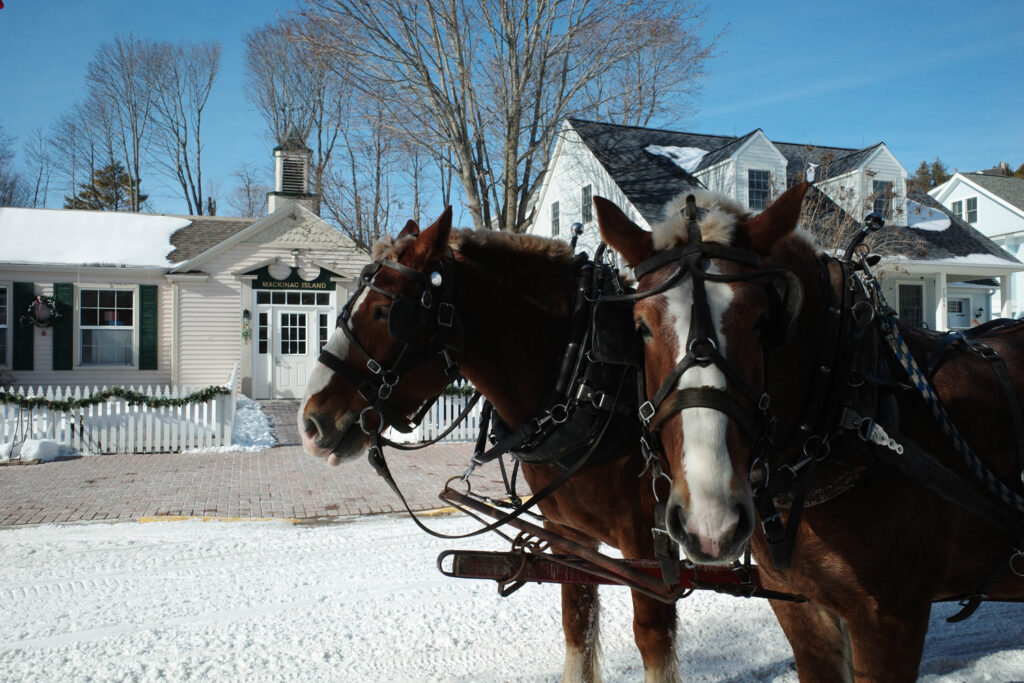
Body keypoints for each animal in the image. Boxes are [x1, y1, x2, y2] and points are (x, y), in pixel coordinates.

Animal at [299, 209, 684, 683]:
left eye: (385, 311)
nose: (310, 422)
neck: (587, 375)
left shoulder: (649, 557)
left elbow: (652, 638)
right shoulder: (568, 540)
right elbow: (577, 626)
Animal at [598, 184, 1024, 679]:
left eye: (762, 321)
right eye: (641, 327)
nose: (710, 521)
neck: (846, 403)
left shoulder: (890, 618)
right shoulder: (801, 608)